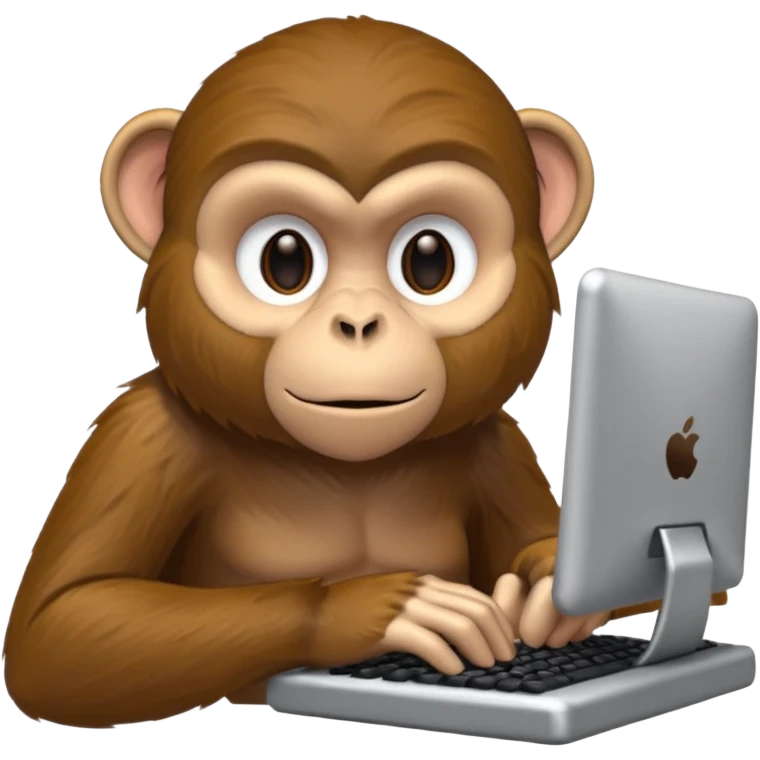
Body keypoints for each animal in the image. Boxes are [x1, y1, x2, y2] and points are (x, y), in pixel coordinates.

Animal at [2, 16, 728, 730]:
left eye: (429, 260)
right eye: (285, 260)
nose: (356, 321)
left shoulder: (498, 442)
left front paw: (544, 595)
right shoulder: (141, 437)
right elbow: (64, 625)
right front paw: (380, 607)